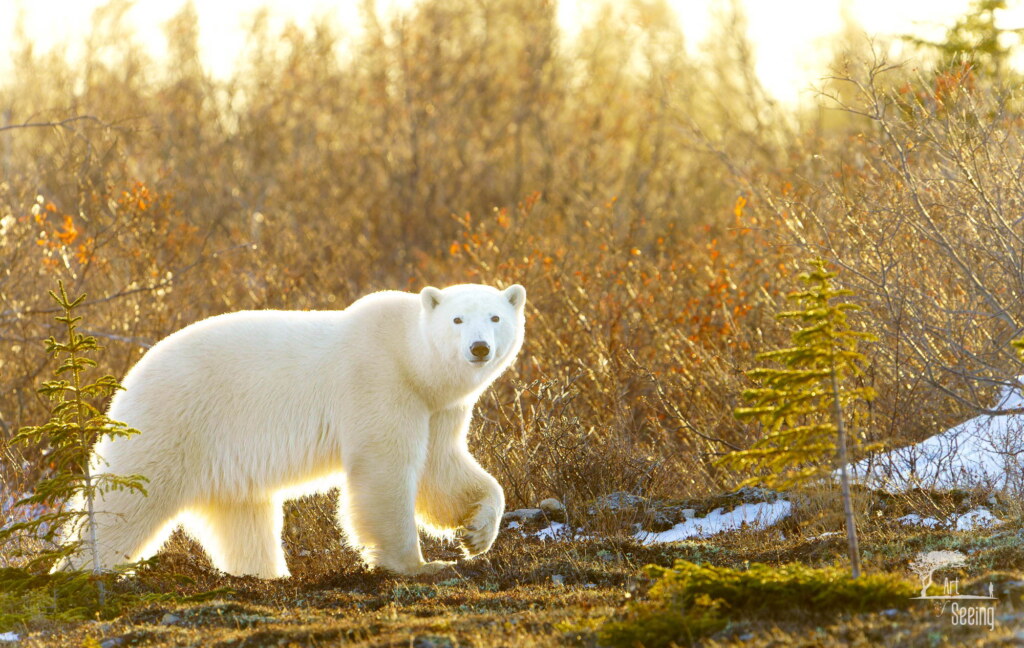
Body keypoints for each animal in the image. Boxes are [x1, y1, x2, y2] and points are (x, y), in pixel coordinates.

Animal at [64, 283, 526, 578]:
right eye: (457, 319)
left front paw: (477, 534)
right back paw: (82, 571)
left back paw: (267, 575)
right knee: (125, 499)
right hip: (174, 422)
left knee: (244, 519)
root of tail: (129, 379)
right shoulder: (379, 381)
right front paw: (419, 564)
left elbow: (440, 467)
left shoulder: (436, 406)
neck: (409, 357)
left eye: (496, 317)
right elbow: (385, 469)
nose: (479, 348)